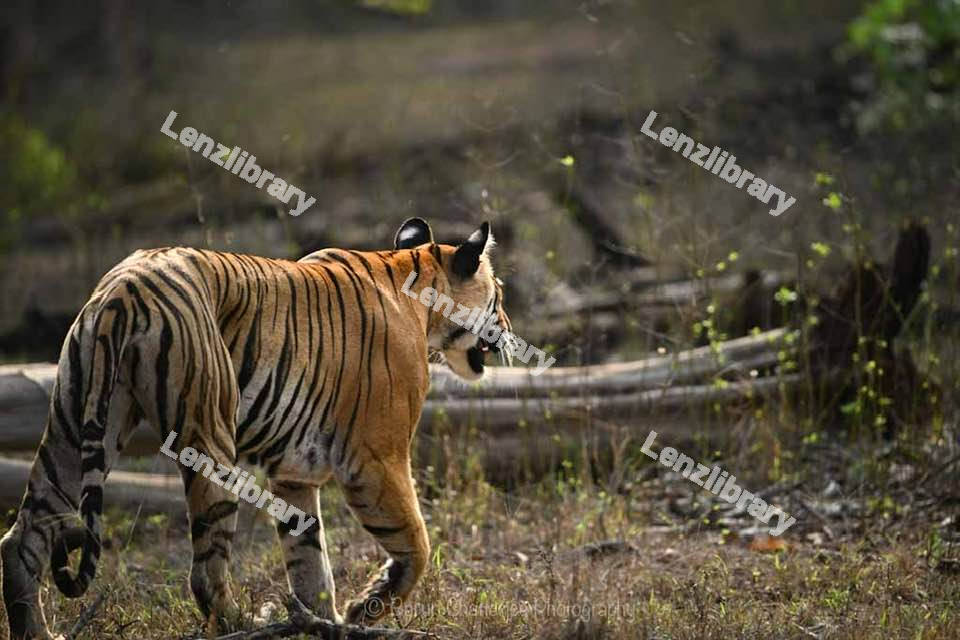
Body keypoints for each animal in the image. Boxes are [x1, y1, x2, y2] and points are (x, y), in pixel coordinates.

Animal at [0, 217, 511, 639]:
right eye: (500, 295)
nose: (508, 328)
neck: (418, 288)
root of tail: (123, 289)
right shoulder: (376, 459)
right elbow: (416, 542)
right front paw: (364, 607)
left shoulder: (296, 473)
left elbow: (309, 561)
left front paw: (325, 622)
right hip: (209, 438)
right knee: (205, 572)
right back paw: (243, 624)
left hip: (75, 427)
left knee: (22, 535)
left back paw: (37, 634)